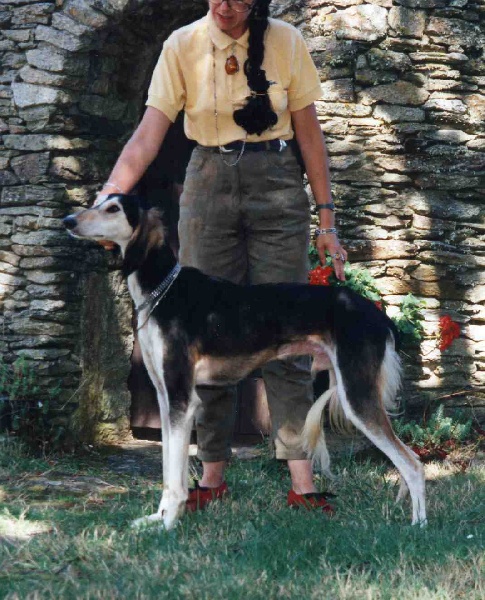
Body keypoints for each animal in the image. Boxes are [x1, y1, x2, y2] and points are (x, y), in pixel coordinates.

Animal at [62, 195, 426, 528]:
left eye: (113, 209)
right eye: (98, 201)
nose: (68, 220)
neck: (162, 291)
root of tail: (376, 313)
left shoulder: (182, 399)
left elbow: (175, 479)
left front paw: (167, 526)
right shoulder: (167, 400)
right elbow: (168, 470)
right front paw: (157, 518)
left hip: (357, 396)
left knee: (413, 464)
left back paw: (418, 527)